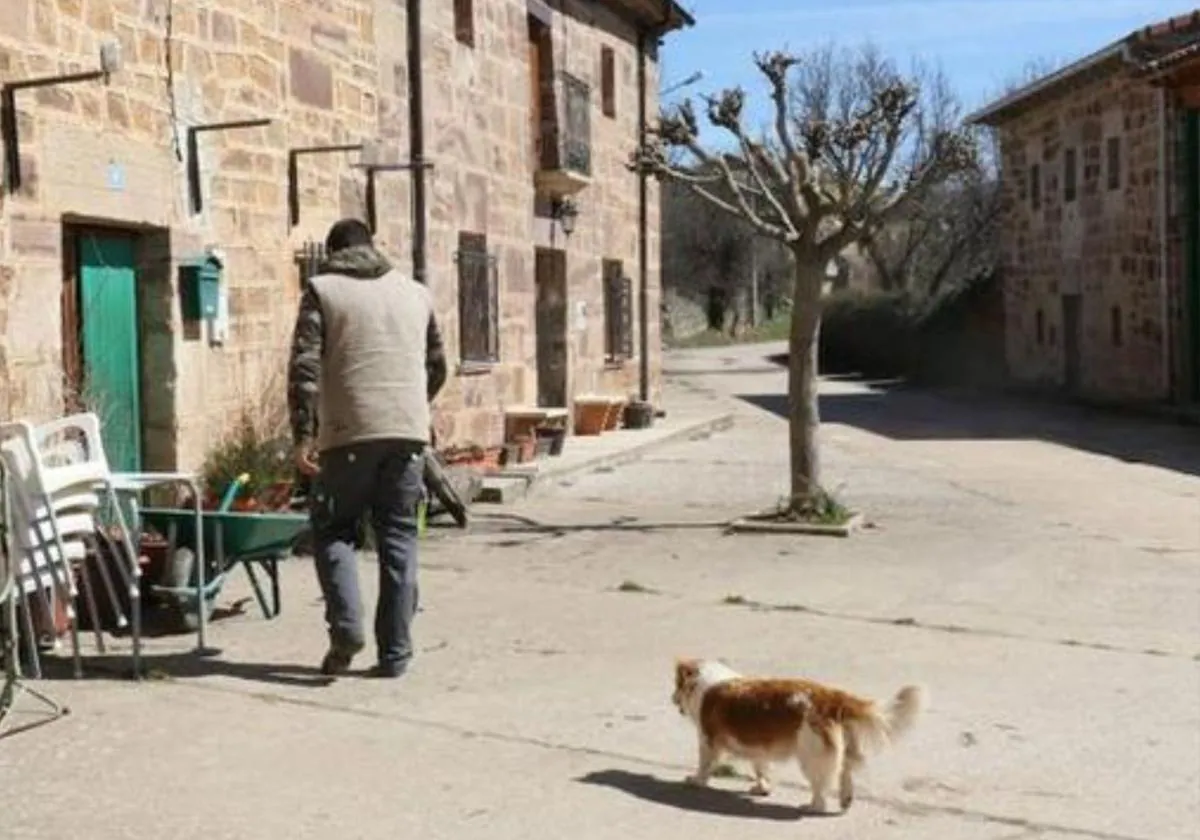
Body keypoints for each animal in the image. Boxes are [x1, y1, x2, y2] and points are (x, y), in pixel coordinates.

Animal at [672, 657, 921, 816]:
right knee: (845, 773)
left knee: (821, 791)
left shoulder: (707, 740)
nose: (672, 698)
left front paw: (696, 780)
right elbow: (760, 767)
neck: (706, 682)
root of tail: (832, 697)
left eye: (676, 685)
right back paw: (845, 799)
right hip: (839, 752)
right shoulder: (759, 747)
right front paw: (763, 788)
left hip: (811, 757)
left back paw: (811, 807)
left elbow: (704, 764)